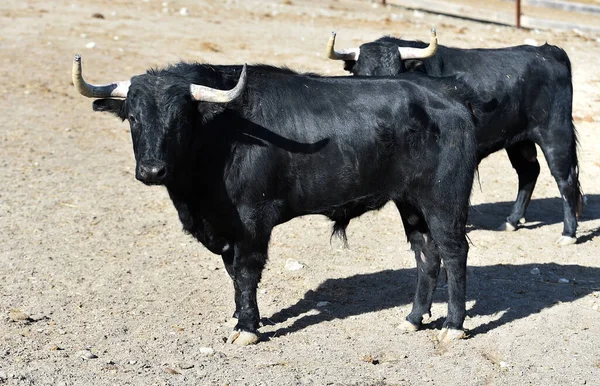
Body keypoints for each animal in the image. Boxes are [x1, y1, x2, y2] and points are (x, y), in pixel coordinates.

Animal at [72, 58, 480, 346]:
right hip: (410, 203)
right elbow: (233, 272)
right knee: (427, 253)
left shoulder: (252, 220)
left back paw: (453, 325)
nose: (152, 170)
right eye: (133, 118)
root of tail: (449, 94)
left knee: (453, 252)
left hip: (444, 201)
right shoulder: (225, 228)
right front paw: (241, 316)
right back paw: (413, 319)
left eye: (180, 119)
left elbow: (246, 271)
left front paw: (248, 328)